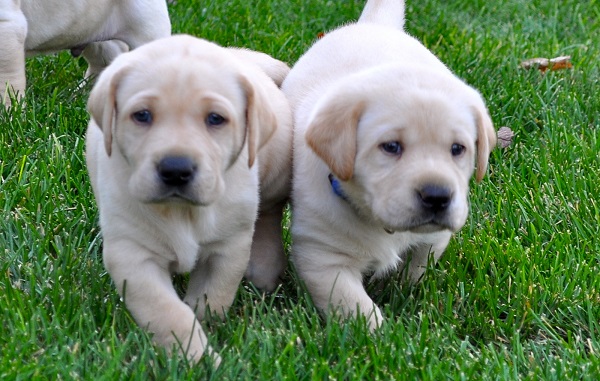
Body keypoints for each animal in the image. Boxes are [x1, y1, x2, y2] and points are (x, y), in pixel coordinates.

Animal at [1, 0, 170, 104]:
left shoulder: (8, 26)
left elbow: (7, 82)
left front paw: (10, 113)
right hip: (95, 35)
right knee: (105, 61)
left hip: (147, 28)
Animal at [85, 34, 292, 360]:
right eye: (142, 115)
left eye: (216, 119)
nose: (176, 169)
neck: (181, 211)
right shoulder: (132, 254)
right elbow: (170, 314)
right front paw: (197, 356)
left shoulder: (227, 249)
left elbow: (212, 298)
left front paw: (208, 336)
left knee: (270, 210)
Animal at [284, 0, 494, 328]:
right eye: (391, 147)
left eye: (458, 149)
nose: (438, 196)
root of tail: (375, 25)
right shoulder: (323, 257)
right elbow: (355, 306)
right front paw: (377, 334)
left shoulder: (433, 238)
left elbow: (417, 267)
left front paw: (398, 290)